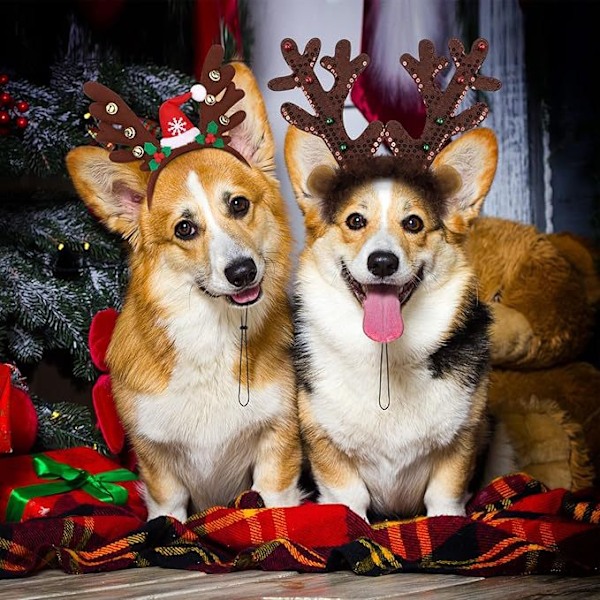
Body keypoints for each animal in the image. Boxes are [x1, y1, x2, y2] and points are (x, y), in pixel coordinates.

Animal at [66, 51, 302, 520]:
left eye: (239, 204)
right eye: (185, 229)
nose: (242, 272)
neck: (213, 332)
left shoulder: (278, 441)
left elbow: (273, 503)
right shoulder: (155, 458)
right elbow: (168, 511)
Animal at [270, 36, 502, 520]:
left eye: (413, 224)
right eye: (355, 221)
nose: (382, 262)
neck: (385, 363)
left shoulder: (463, 441)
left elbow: (444, 499)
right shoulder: (325, 446)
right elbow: (347, 499)